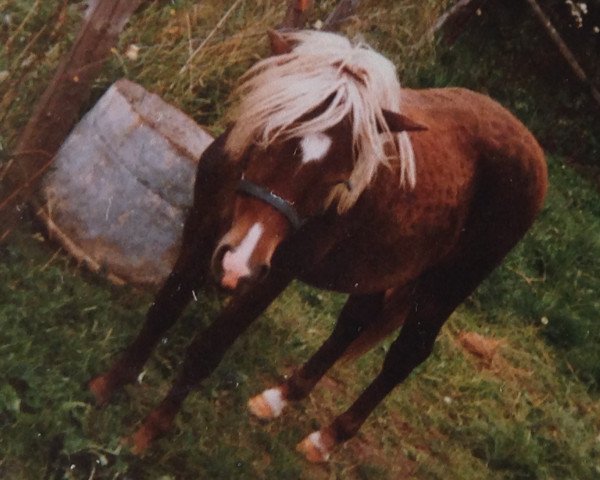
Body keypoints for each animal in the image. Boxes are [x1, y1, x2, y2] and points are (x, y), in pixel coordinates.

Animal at [90, 31, 548, 462]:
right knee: (354, 323)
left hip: (446, 287)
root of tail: (534, 150)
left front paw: (147, 433)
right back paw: (281, 397)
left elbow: (208, 349)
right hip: (374, 267)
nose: (238, 264)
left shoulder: (275, 272)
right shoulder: (202, 232)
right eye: (268, 135)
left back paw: (326, 439)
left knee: (406, 354)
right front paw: (106, 387)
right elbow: (163, 311)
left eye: (339, 177)